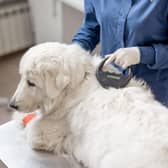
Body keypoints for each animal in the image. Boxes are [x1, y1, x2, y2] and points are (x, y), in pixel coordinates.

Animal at [9, 43, 168, 168]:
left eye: (31, 83)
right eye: (21, 76)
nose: (12, 105)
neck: (77, 84)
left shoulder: (43, 133)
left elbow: (33, 126)